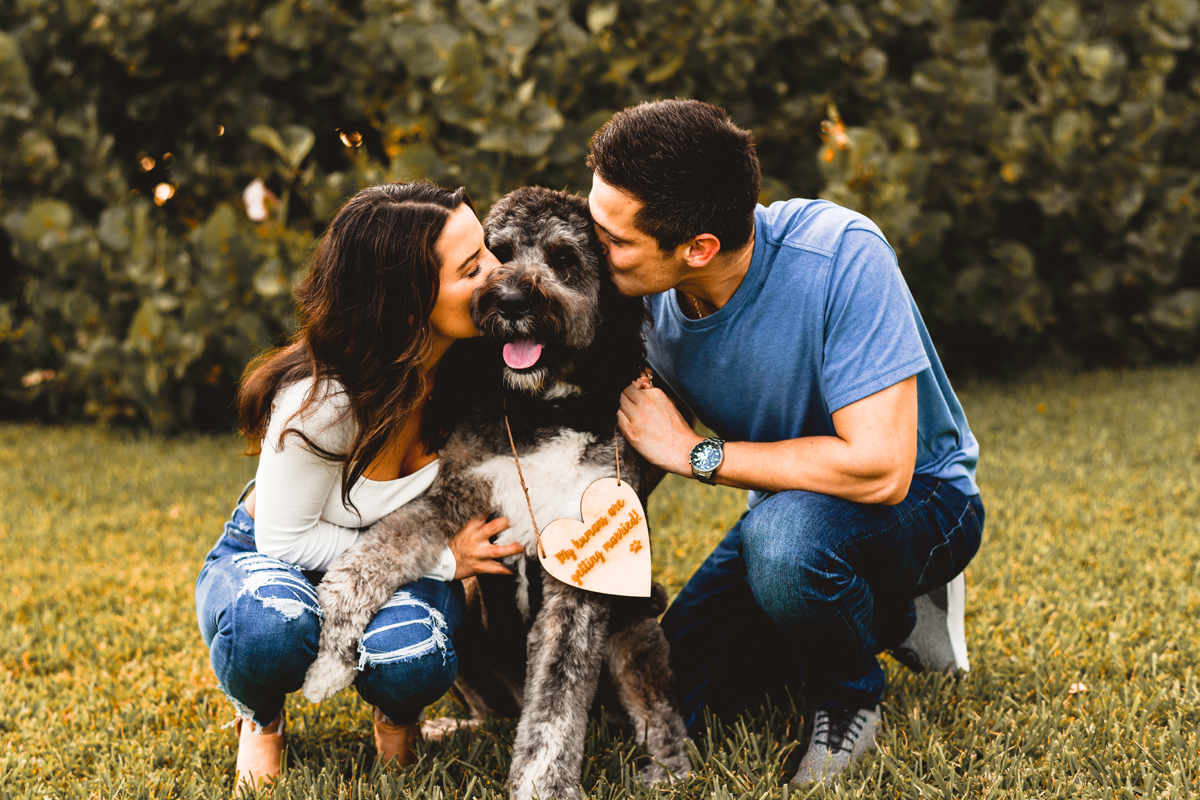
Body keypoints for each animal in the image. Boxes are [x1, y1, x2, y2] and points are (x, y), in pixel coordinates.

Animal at [300, 189, 691, 800]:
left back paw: (670, 768)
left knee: (654, 710)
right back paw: (449, 729)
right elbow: (369, 558)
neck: (542, 408)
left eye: (563, 259)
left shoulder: (579, 576)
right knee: (496, 716)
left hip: (636, 622)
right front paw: (328, 662)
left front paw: (543, 784)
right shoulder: (454, 494)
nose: (508, 300)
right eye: (496, 254)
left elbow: (556, 702)